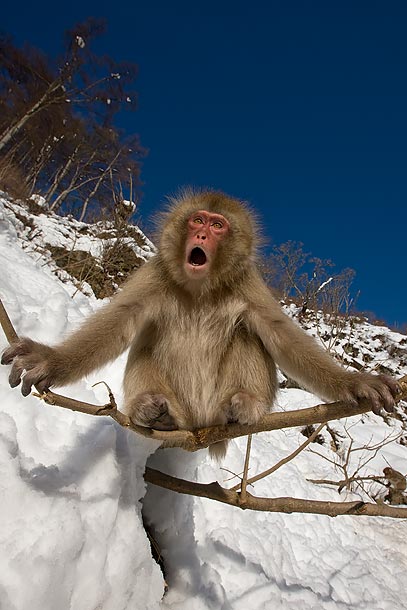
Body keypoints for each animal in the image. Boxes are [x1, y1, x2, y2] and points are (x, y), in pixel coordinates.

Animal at [0, 190, 402, 456]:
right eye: (198, 219)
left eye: (218, 225)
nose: (202, 235)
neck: (200, 290)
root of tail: (198, 428)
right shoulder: (154, 273)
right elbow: (120, 322)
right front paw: (49, 361)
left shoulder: (248, 283)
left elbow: (279, 335)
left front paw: (355, 383)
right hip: (181, 404)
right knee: (148, 338)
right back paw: (152, 411)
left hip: (214, 403)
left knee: (246, 334)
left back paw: (244, 406)